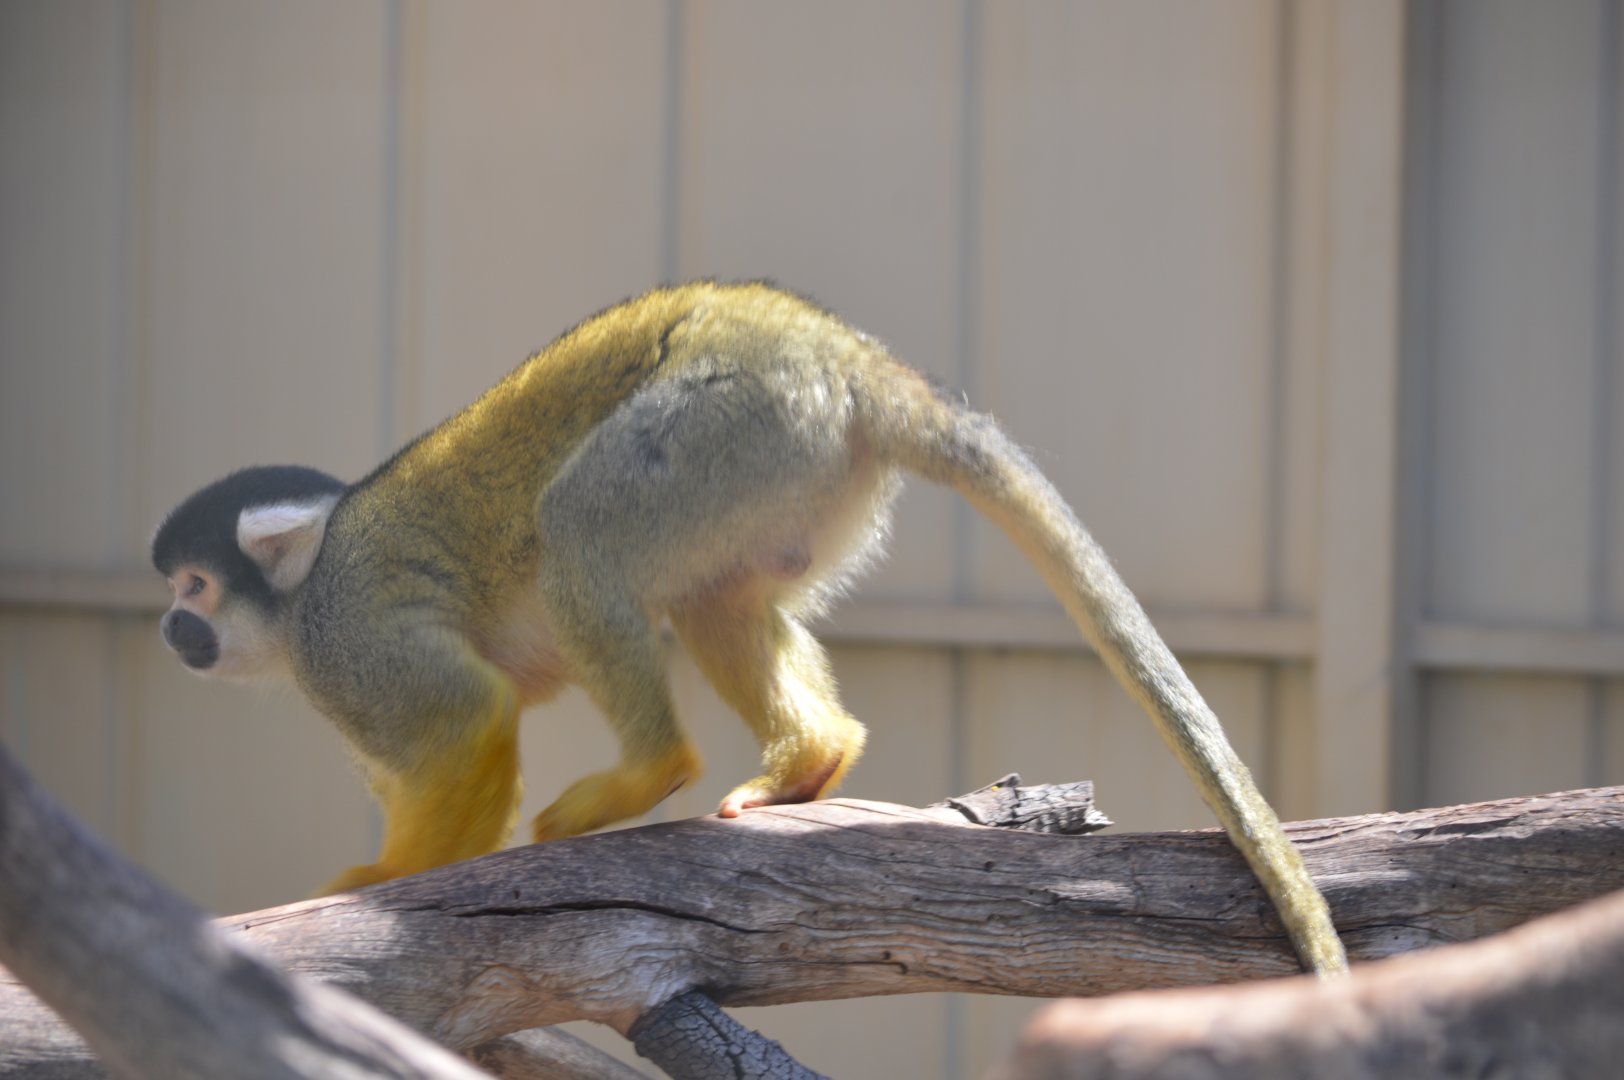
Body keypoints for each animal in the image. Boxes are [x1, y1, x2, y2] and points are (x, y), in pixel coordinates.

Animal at [151, 281, 1346, 975]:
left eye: (194, 590)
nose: (169, 630)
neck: (299, 600)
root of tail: (860, 365)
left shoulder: (347, 637)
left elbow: (464, 725)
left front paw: (377, 890)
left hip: (732, 418)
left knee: (580, 532)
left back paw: (647, 772)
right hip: (790, 467)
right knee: (711, 596)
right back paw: (807, 759)